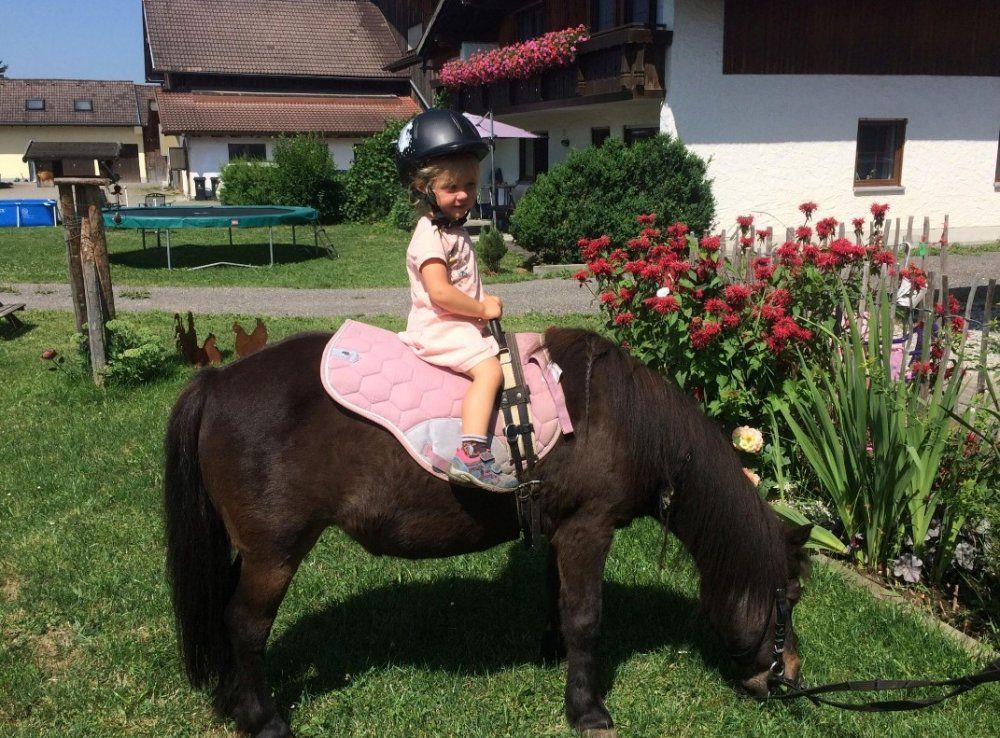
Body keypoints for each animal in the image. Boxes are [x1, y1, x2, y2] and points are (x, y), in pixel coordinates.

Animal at [164, 326, 812, 737]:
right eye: (791, 597)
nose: (788, 679)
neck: (623, 421)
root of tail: (216, 382)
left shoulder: (559, 528)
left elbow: (559, 600)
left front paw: (553, 654)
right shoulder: (589, 528)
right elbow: (587, 617)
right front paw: (587, 709)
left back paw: (234, 702)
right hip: (274, 553)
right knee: (245, 625)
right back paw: (264, 718)